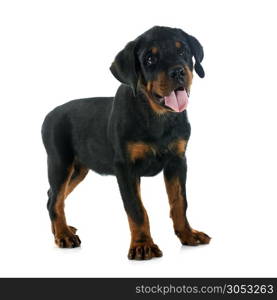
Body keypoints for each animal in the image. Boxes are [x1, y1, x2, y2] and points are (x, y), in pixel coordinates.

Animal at [41, 25, 209, 260]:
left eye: (183, 51)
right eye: (149, 59)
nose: (178, 72)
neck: (156, 116)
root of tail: (49, 114)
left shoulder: (177, 161)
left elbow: (179, 201)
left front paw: (187, 234)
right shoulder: (126, 168)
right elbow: (136, 209)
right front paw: (142, 246)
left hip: (79, 170)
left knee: (52, 197)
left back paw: (60, 231)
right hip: (60, 163)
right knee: (55, 199)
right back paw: (64, 235)